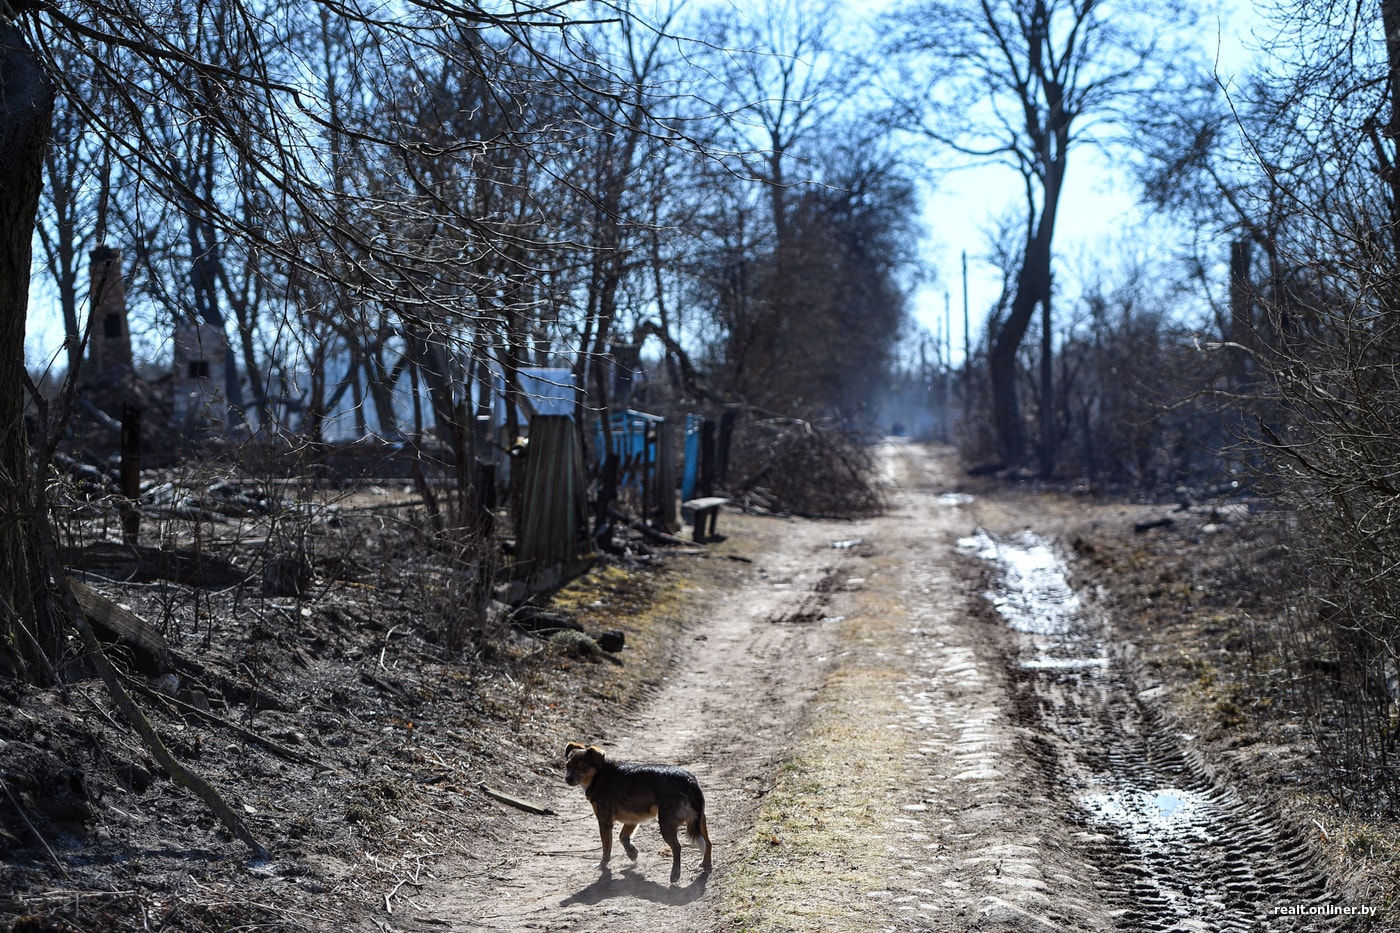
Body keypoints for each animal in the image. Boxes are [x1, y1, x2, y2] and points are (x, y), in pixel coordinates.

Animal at [560, 739, 711, 879]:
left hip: (666, 823)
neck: (599, 774)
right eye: (568, 765)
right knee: (708, 843)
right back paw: (706, 863)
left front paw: (602, 865)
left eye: (583, 767)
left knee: (677, 847)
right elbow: (623, 837)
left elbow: (606, 849)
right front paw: (632, 853)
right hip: (700, 820)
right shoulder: (632, 819)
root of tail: (690, 782)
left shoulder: (604, 822)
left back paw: (675, 874)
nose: (568, 779)